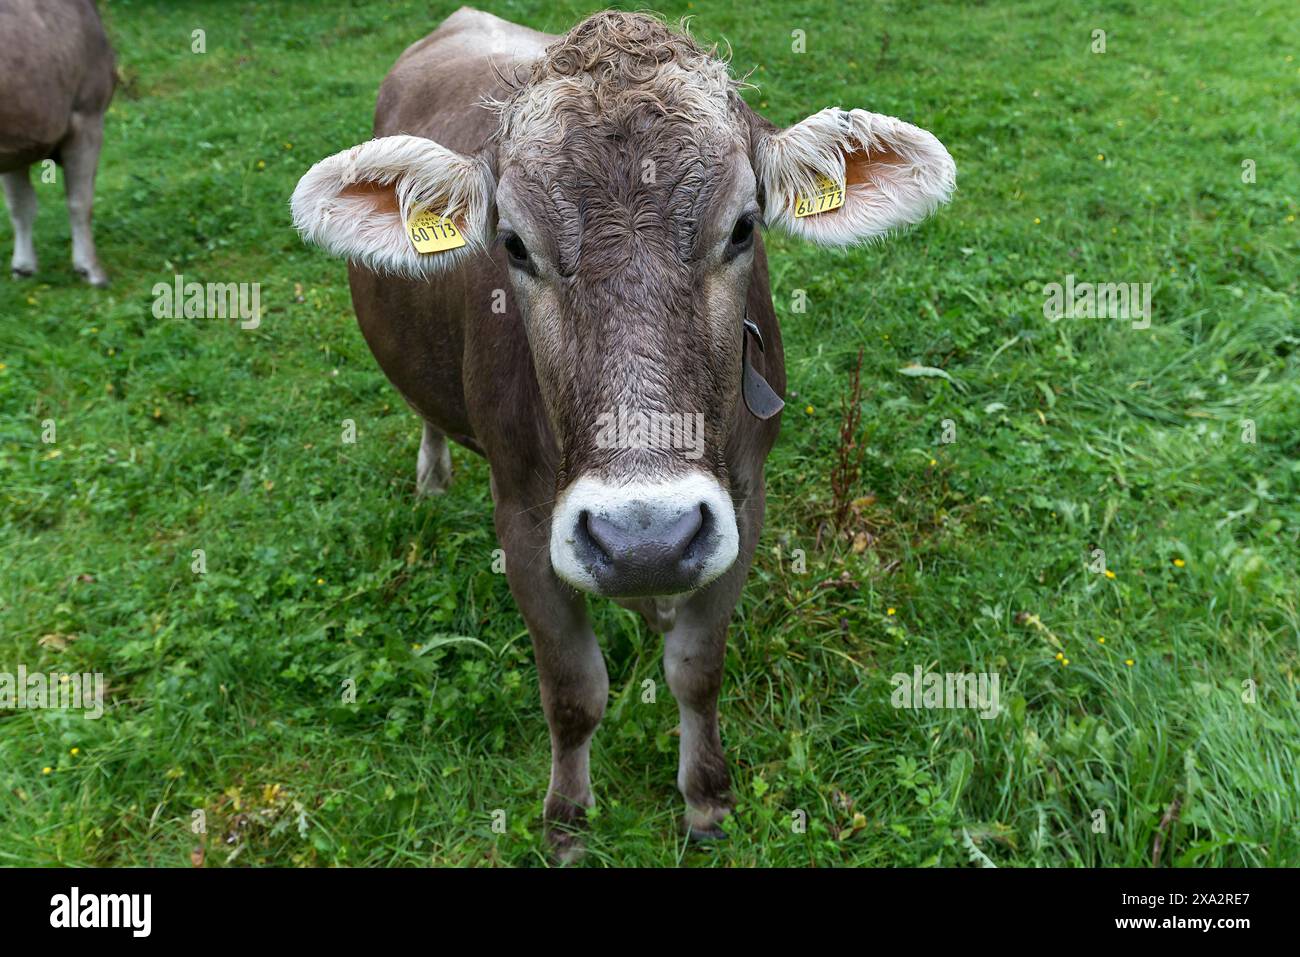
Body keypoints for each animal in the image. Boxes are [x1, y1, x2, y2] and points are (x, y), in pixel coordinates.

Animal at [0, 0, 115, 287]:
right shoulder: (87, 116)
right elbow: (80, 201)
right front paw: (91, 269)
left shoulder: (16, 141)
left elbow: (20, 205)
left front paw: (23, 267)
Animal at [291, 7, 954, 856]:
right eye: (514, 244)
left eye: (743, 228)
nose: (647, 539)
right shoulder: (525, 521)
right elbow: (574, 689)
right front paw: (568, 819)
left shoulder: (743, 502)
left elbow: (696, 668)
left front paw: (706, 800)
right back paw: (433, 477)